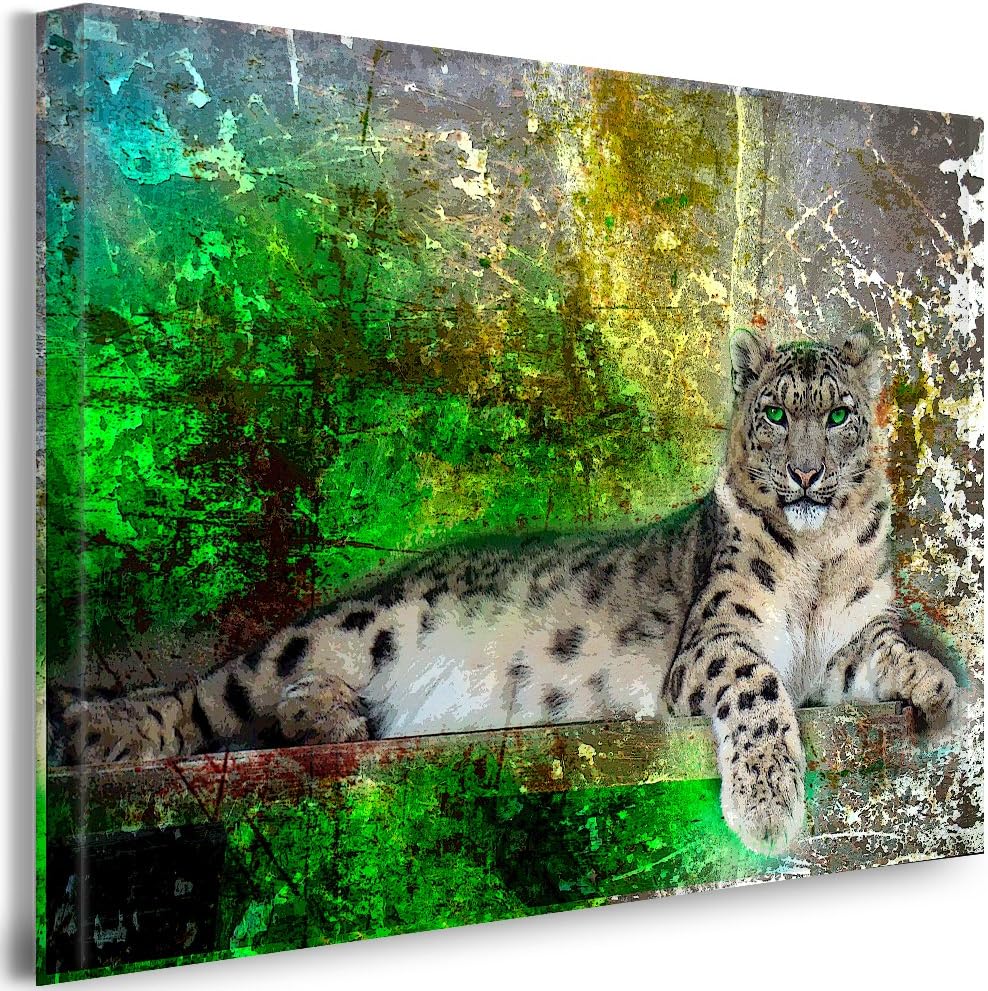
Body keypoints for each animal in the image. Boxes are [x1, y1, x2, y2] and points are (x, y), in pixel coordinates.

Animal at [55, 328, 958, 854]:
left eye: (837, 415)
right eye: (773, 412)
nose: (805, 473)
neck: (817, 559)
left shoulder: (839, 647)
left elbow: (879, 648)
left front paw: (937, 686)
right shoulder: (717, 640)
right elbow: (761, 684)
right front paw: (769, 806)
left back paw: (339, 714)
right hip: (347, 627)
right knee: (211, 692)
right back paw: (99, 730)